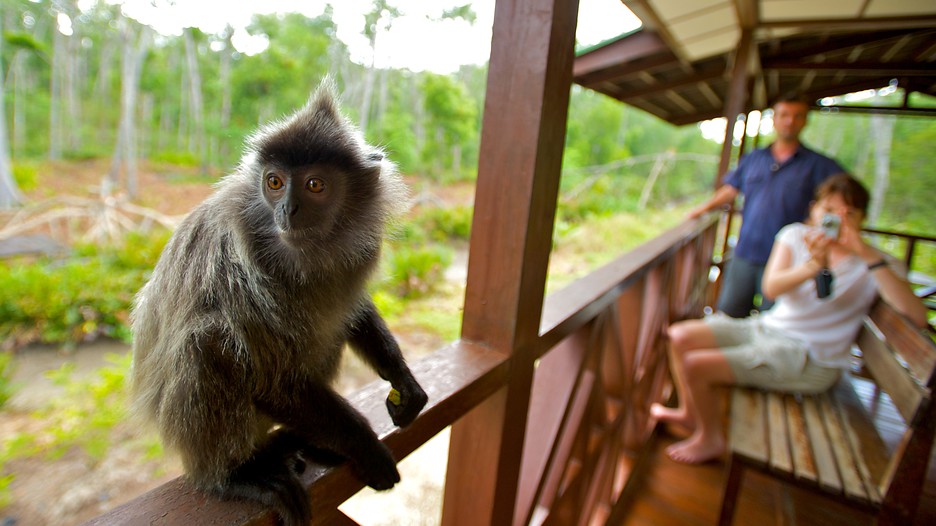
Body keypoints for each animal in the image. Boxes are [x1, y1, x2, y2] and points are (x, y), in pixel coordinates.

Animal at [129, 81, 428, 526]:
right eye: (274, 182)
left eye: (314, 185)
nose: (287, 209)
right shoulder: (240, 273)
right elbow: (271, 380)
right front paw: (366, 446)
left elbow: (353, 311)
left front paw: (403, 380)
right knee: (208, 340)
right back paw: (233, 475)